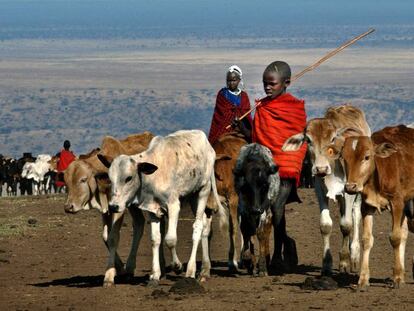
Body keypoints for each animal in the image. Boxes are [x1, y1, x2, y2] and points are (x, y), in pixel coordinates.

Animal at [64, 132, 154, 288]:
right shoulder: (106, 210)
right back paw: (130, 269)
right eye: (66, 181)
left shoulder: (119, 209)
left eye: (83, 180)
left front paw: (109, 276)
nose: (69, 207)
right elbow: (106, 237)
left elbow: (113, 237)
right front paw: (121, 269)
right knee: (139, 224)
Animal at [100, 130, 228, 288]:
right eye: (110, 179)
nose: (113, 206)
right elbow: (155, 239)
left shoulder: (173, 206)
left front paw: (177, 266)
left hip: (202, 192)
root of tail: (207, 144)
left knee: (198, 226)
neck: (155, 174)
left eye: (128, 178)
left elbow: (170, 239)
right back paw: (204, 270)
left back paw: (191, 271)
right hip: (192, 197)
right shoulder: (153, 210)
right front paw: (155, 275)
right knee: (205, 226)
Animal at [336, 125, 414, 290]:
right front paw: (363, 279)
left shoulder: (397, 202)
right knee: (405, 232)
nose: (350, 187)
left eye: (367, 157)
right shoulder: (367, 206)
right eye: (344, 158)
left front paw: (397, 278)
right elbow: (366, 240)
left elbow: (395, 237)